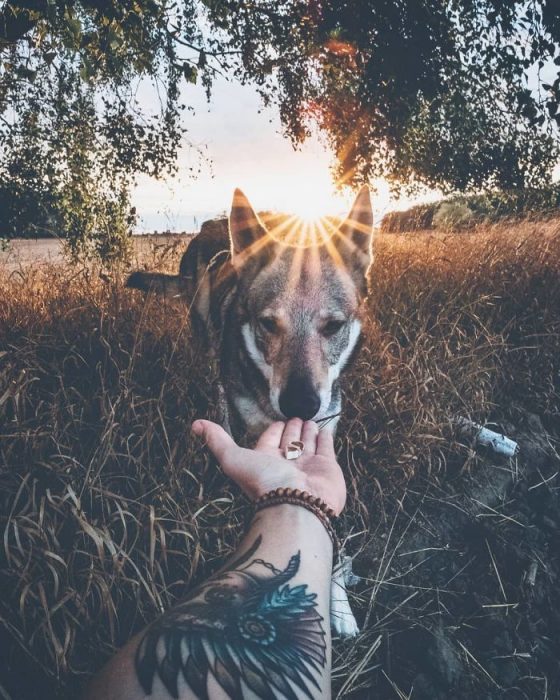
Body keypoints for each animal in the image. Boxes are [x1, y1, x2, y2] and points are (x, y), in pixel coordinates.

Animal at [126, 189, 372, 636]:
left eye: (333, 326)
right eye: (268, 324)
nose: (301, 405)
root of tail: (209, 227)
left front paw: (341, 607)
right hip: (205, 340)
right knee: (217, 387)